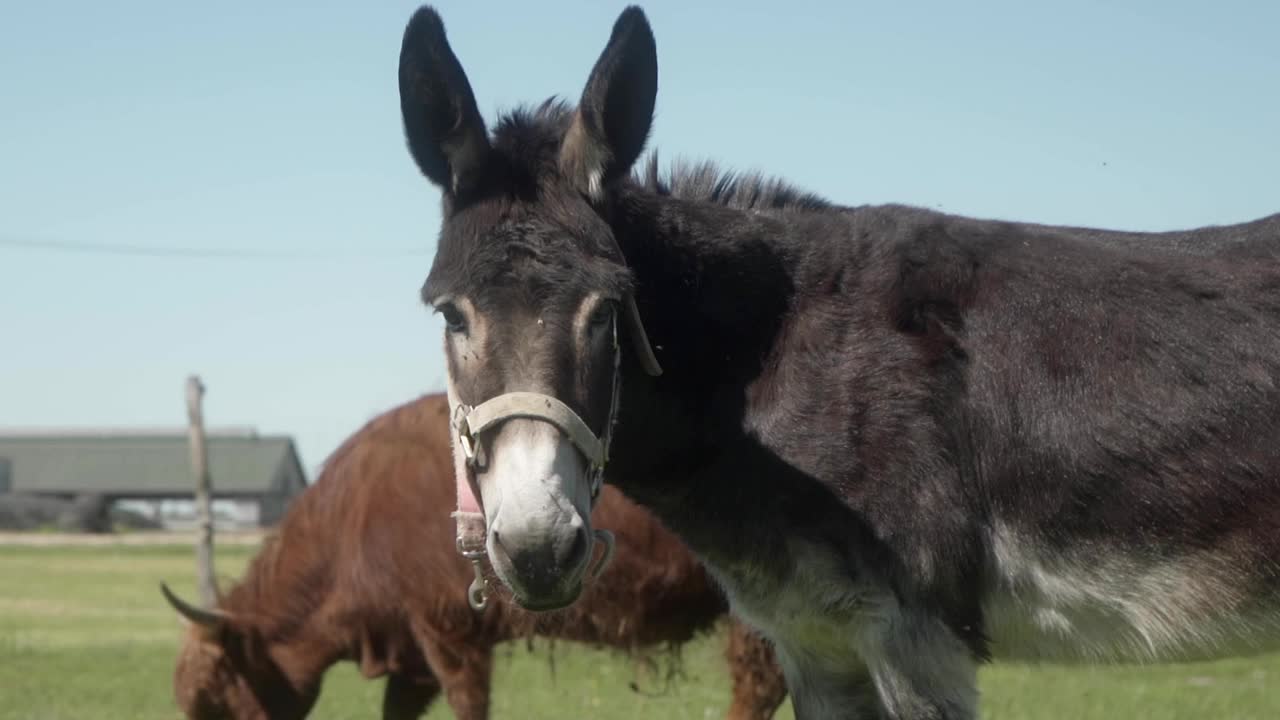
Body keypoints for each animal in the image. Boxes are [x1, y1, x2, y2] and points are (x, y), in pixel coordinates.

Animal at [396, 5, 1280, 717]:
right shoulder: (813, 641)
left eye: (609, 309)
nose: (539, 549)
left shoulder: (914, 640)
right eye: (451, 315)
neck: (774, 370)